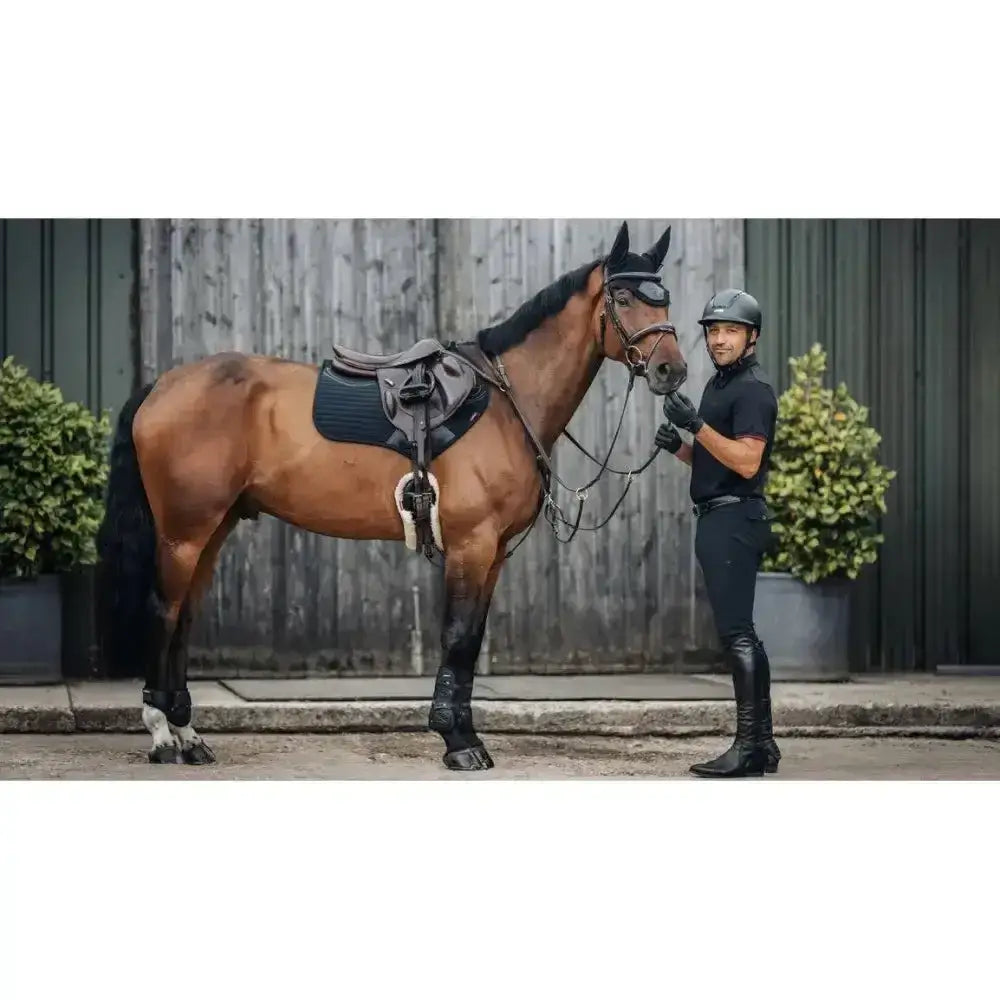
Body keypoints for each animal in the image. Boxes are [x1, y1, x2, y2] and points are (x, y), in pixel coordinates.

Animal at [95, 220, 688, 771]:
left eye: (664, 297)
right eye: (623, 298)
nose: (672, 370)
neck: (504, 402)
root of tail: (163, 385)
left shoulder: (493, 554)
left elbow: (472, 641)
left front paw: (465, 736)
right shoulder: (471, 546)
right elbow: (456, 637)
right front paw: (458, 742)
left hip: (213, 529)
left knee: (184, 618)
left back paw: (188, 736)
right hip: (183, 533)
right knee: (163, 613)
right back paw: (162, 736)